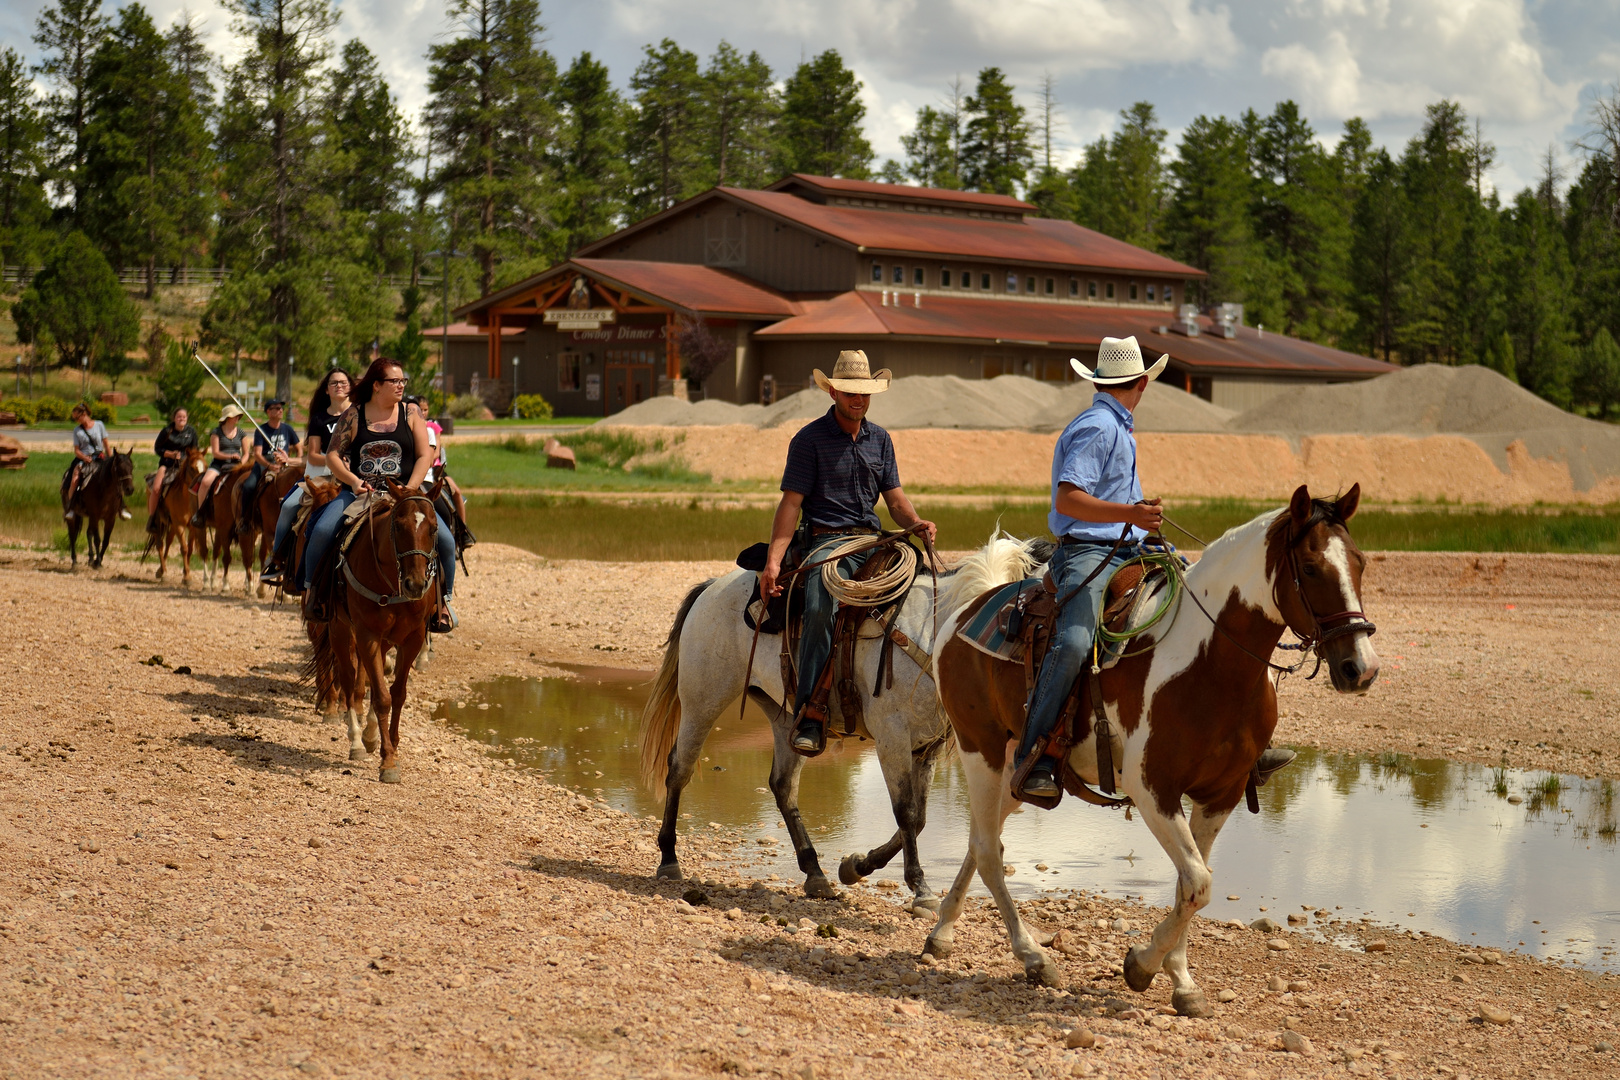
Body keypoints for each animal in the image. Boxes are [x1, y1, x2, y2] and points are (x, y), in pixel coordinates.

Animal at [306, 476, 447, 780]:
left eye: (433, 528)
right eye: (398, 526)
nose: (415, 585)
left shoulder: (412, 638)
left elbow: (397, 693)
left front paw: (389, 743)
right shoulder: (367, 635)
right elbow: (381, 697)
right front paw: (388, 762)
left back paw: (371, 735)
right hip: (339, 629)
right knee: (348, 679)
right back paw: (358, 740)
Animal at [638, 531, 1043, 906]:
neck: (928, 633)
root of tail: (711, 588)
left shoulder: (924, 746)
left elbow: (919, 818)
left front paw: (857, 866)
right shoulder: (892, 738)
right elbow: (906, 812)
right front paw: (920, 887)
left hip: (786, 716)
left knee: (783, 786)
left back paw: (815, 873)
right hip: (702, 700)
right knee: (680, 768)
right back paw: (669, 859)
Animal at [926, 485, 1380, 1016]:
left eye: (1360, 563)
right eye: (1309, 567)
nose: (1361, 669)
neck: (1210, 664)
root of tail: (970, 610)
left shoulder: (1220, 795)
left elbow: (1191, 885)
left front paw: (1182, 982)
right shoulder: (1152, 791)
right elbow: (1199, 883)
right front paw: (1141, 965)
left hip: (1020, 770)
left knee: (983, 839)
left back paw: (943, 932)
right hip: (982, 751)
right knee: (987, 850)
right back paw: (1033, 957)